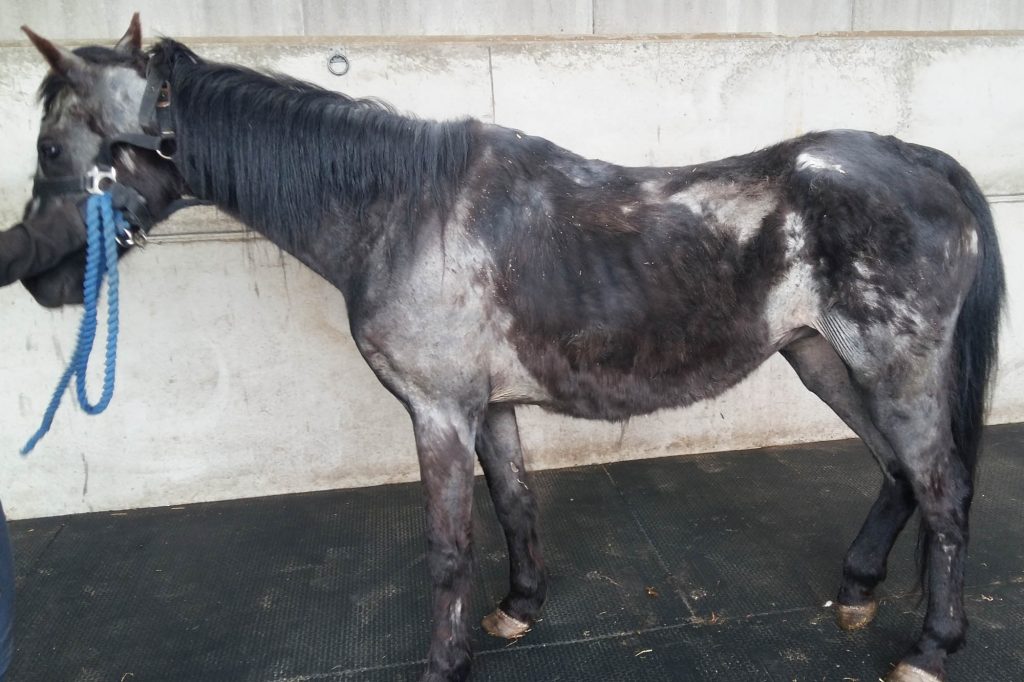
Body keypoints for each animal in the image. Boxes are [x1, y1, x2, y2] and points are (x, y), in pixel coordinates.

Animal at [8, 15, 1003, 679]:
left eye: (52, 149)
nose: (31, 274)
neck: (400, 212)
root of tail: (923, 161)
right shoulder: (489, 408)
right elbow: (516, 506)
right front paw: (519, 610)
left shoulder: (439, 411)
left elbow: (449, 544)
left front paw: (443, 661)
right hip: (821, 357)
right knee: (897, 475)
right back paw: (859, 589)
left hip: (896, 369)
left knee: (945, 491)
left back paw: (930, 646)